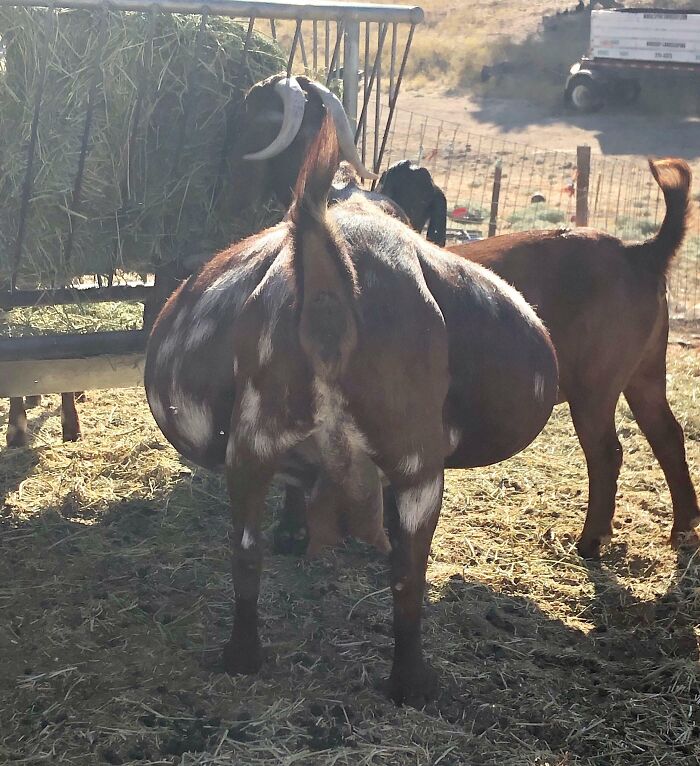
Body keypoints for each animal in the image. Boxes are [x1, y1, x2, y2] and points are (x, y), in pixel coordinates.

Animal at [144, 116, 557, 705]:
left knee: (246, 550)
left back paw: (243, 657)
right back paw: (412, 683)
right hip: (416, 460)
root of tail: (327, 281)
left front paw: (293, 534)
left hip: (252, 442)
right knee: (408, 570)